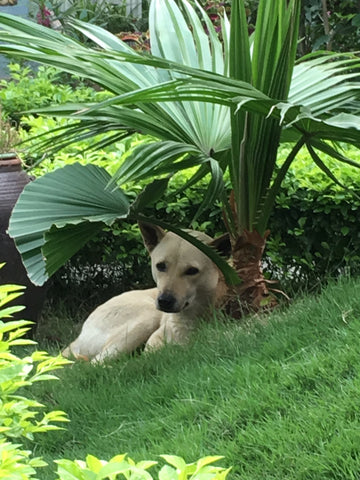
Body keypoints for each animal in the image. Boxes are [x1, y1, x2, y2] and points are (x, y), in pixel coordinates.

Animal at [61, 222, 228, 364]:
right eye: (160, 266)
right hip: (147, 317)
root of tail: (77, 339)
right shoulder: (155, 339)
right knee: (95, 364)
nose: (164, 301)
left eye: (192, 271)